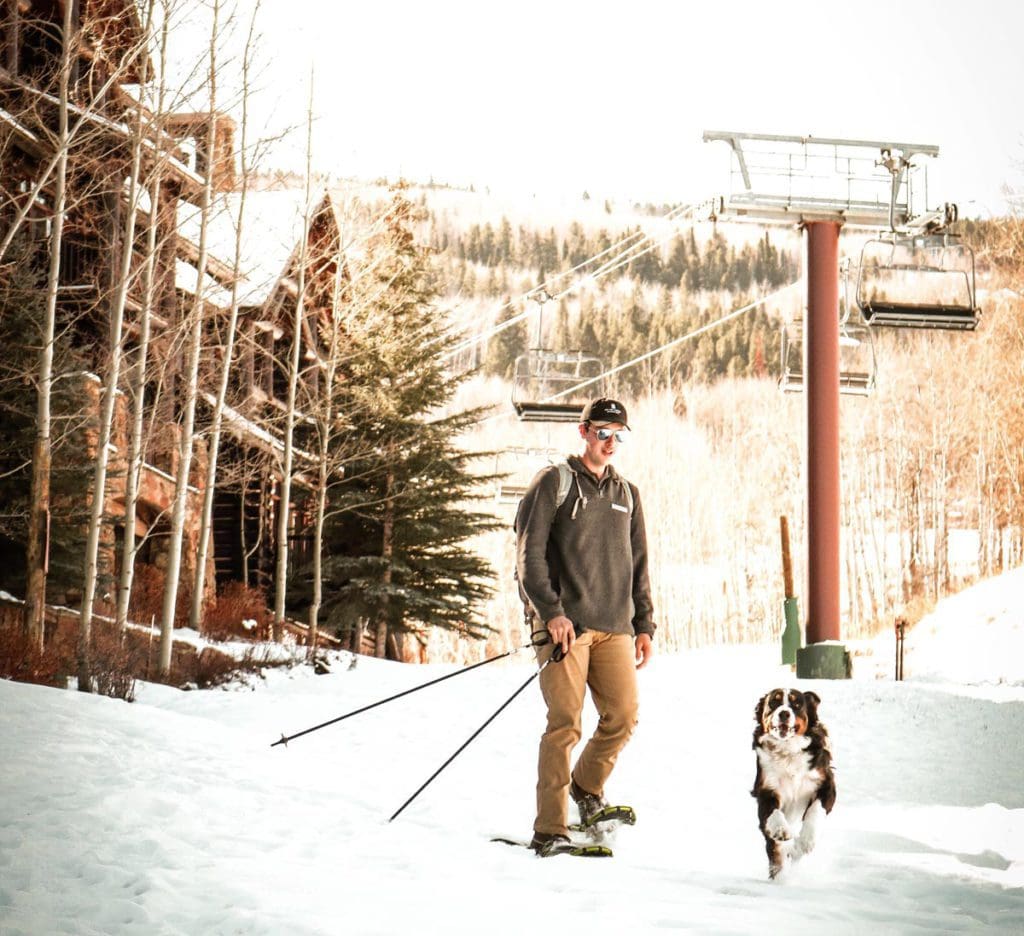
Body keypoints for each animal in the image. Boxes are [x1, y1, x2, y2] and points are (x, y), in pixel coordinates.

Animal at [753, 684, 831, 876]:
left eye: (797, 705)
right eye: (773, 702)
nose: (784, 713)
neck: (787, 751)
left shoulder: (826, 784)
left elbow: (815, 810)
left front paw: (806, 841)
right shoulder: (765, 788)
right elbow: (773, 813)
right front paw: (780, 830)